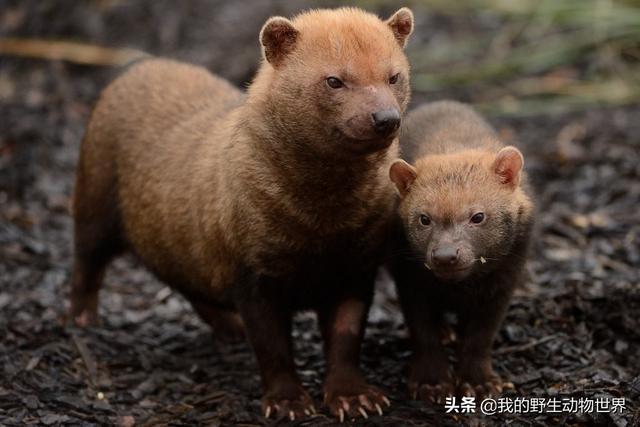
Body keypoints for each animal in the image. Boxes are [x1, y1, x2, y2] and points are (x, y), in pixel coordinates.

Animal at [71, 6, 416, 422]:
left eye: (394, 75)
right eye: (334, 80)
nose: (385, 118)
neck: (321, 228)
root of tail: (140, 66)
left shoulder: (357, 268)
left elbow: (346, 338)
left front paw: (356, 398)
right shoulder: (252, 271)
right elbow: (272, 346)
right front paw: (287, 403)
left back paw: (229, 329)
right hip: (93, 199)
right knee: (86, 262)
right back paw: (82, 321)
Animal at [390, 102, 536, 402]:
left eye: (478, 216)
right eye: (424, 218)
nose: (446, 255)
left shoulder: (503, 282)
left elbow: (481, 336)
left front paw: (478, 382)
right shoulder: (408, 280)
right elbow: (423, 331)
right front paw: (431, 382)